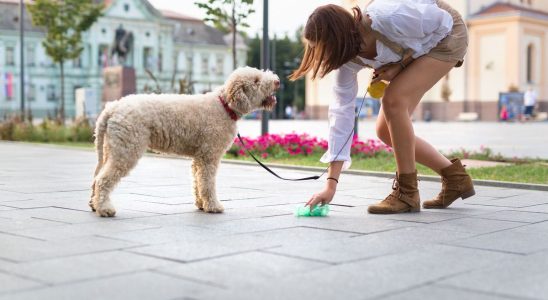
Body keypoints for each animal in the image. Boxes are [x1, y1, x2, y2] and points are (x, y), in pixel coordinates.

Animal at [91, 67, 278, 217]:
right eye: (256, 80)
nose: (277, 81)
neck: (224, 106)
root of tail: (112, 108)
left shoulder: (199, 157)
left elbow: (198, 181)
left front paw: (201, 204)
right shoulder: (209, 155)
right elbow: (207, 183)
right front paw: (213, 206)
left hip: (111, 148)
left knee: (97, 176)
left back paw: (94, 205)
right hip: (126, 149)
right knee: (103, 180)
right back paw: (105, 209)